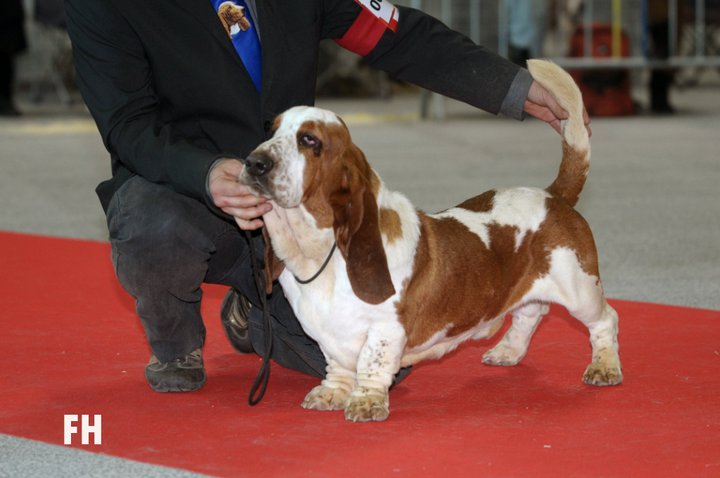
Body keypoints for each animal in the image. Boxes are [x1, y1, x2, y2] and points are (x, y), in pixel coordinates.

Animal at [239, 59, 620, 422]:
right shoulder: (327, 333)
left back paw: (604, 367)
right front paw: (332, 393)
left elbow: (372, 364)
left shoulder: (386, 329)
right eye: (270, 129)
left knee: (605, 318)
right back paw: (507, 351)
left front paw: (367, 403)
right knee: (531, 312)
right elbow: (338, 365)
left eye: (310, 141)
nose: (253, 162)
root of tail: (553, 195)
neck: (318, 253)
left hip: (579, 288)